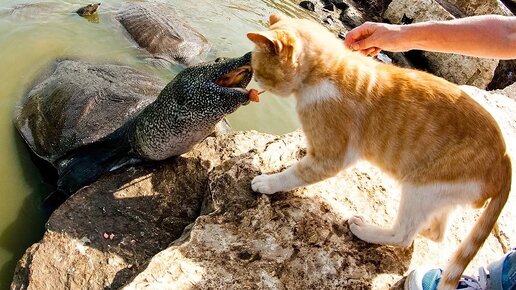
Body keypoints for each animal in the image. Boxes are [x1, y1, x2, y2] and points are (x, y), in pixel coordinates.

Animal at [248, 14, 510, 290]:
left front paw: (267, 182)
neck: (330, 70)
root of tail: (505, 162)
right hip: (441, 194)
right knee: (436, 232)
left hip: (422, 187)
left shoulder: (330, 157)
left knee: (403, 235)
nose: (255, 83)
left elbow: (295, 173)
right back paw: (421, 228)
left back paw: (365, 229)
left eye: (258, 70)